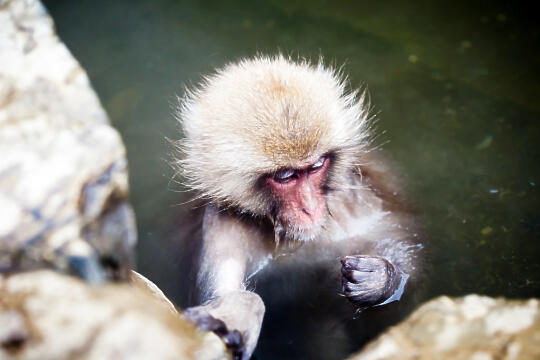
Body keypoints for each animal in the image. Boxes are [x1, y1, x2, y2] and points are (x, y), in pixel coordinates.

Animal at [173, 54, 422, 358]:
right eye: (285, 176)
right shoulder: (222, 221)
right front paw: (229, 318)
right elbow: (222, 294)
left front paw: (383, 278)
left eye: (315, 167)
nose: (311, 208)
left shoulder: (358, 202)